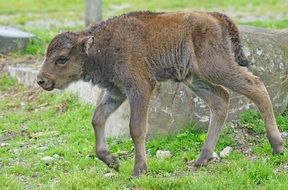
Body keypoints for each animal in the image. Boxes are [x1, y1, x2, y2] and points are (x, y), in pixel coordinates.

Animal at [36, 10, 284, 177]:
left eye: (62, 59)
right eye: (48, 54)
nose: (41, 80)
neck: (99, 45)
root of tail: (215, 16)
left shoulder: (140, 88)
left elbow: (136, 128)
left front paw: (139, 169)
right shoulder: (116, 92)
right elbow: (97, 119)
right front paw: (111, 161)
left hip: (216, 68)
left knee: (256, 87)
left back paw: (277, 146)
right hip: (194, 78)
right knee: (221, 100)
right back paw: (201, 159)